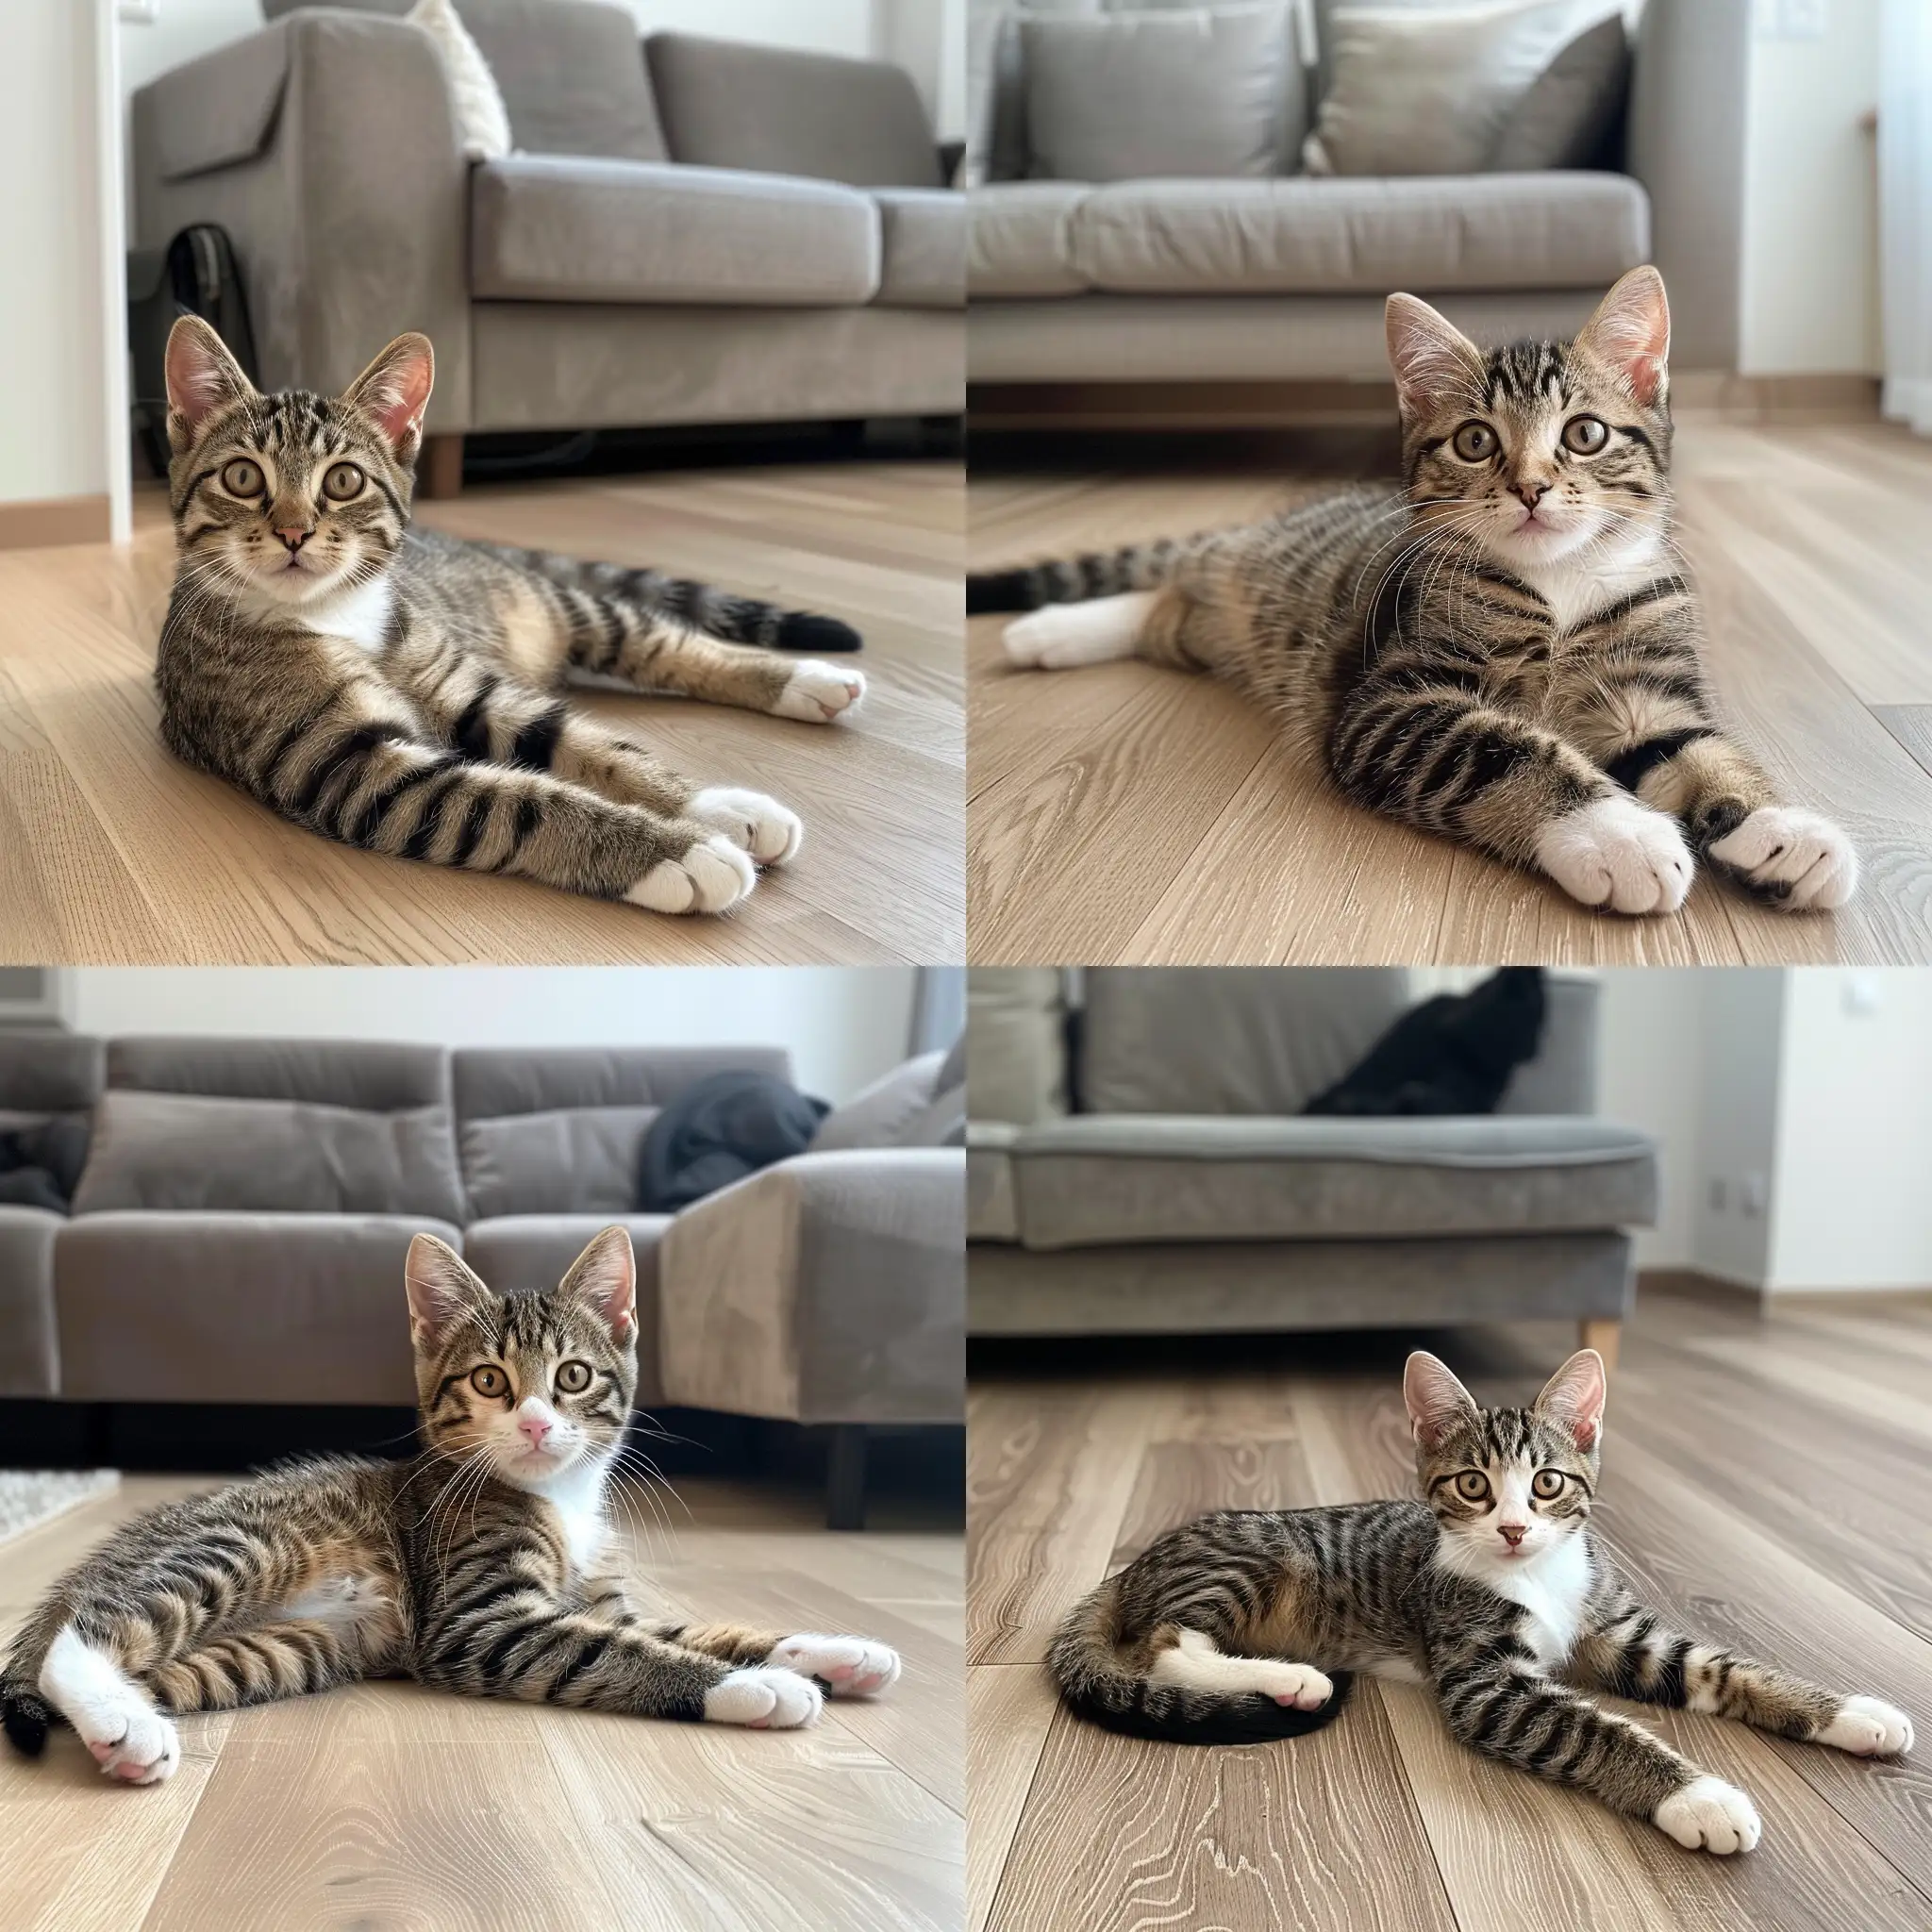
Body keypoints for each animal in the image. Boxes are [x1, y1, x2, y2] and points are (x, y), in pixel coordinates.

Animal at [2, 1228, 896, 1785]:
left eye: (573, 1376)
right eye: (490, 1380)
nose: (535, 1422)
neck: (560, 1502)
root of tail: (88, 1568)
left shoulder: (601, 1603)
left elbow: (683, 1629)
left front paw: (832, 1652)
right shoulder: (475, 1620)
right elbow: (615, 1651)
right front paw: (755, 1686)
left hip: (285, 1651)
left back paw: (129, 1725)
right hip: (242, 1548)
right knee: (78, 1643)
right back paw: (124, 1725)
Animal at [158, 312, 869, 915]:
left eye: (343, 481)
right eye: (244, 478)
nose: (294, 532)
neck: (338, 611)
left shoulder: (474, 693)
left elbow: (598, 747)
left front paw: (714, 806)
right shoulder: (351, 767)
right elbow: (517, 802)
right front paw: (679, 852)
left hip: (577, 612)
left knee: (663, 642)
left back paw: (807, 680)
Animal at [981, 266, 1855, 919]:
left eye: (1585, 434)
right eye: (1475, 441)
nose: (1531, 488)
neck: (1560, 586)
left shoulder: (1646, 688)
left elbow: (1697, 749)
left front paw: (1776, 825)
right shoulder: (1386, 702)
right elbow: (1494, 744)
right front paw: (1617, 833)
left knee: (1169, 613)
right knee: (1169, 589)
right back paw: (1045, 631)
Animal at [1058, 1344, 1916, 1855]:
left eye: (1548, 1483)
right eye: (1473, 1485)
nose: (1510, 1527)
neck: (1541, 1576)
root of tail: (1134, 1565)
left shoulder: (1620, 1631)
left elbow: (1718, 1665)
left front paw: (1852, 1713)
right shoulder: (1484, 1679)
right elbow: (1590, 1728)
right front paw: (1700, 1797)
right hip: (1258, 1560)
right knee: (1170, 1648)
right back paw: (1292, 1679)